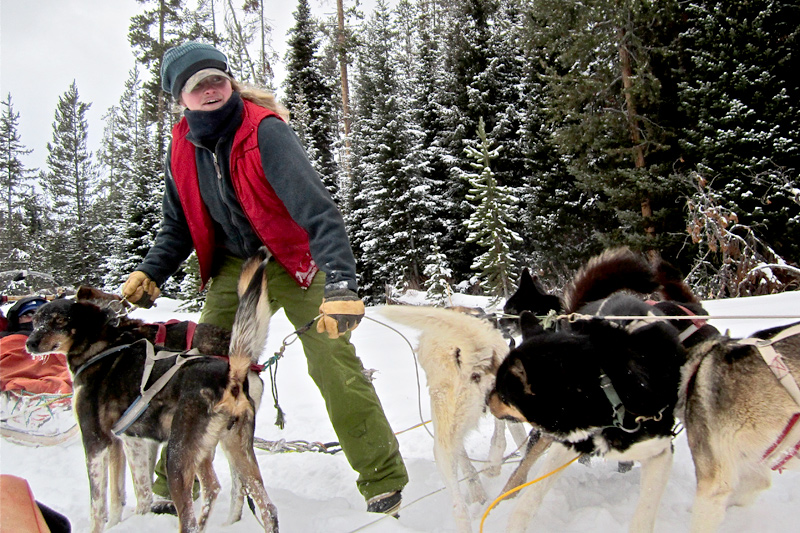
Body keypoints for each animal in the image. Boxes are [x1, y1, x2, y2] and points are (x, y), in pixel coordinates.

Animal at [27, 249, 278, 532]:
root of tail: (235, 372)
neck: (105, 343)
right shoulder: (120, 440)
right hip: (224, 446)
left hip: (178, 456)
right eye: (35, 321)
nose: (30, 342)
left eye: (59, 320)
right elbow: (119, 495)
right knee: (250, 499)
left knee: (200, 509)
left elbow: (104, 504)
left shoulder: (98, 440)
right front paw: (120, 522)